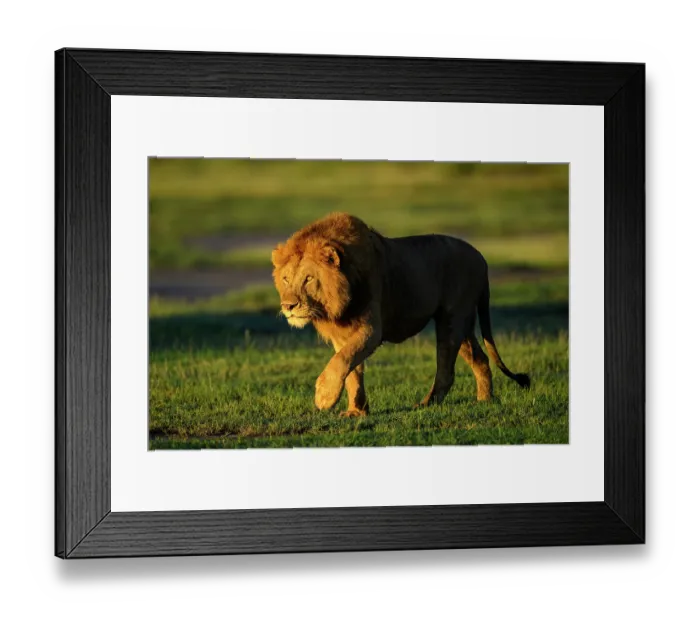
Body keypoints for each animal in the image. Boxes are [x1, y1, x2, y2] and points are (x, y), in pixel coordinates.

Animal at [271, 212, 530, 416]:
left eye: (308, 278)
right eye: (286, 279)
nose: (288, 305)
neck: (335, 306)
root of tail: (481, 257)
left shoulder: (372, 328)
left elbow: (342, 360)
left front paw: (324, 396)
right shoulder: (341, 334)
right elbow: (352, 370)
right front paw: (356, 411)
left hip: (452, 319)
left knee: (446, 368)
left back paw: (426, 404)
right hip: (462, 323)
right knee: (480, 358)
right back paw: (484, 400)